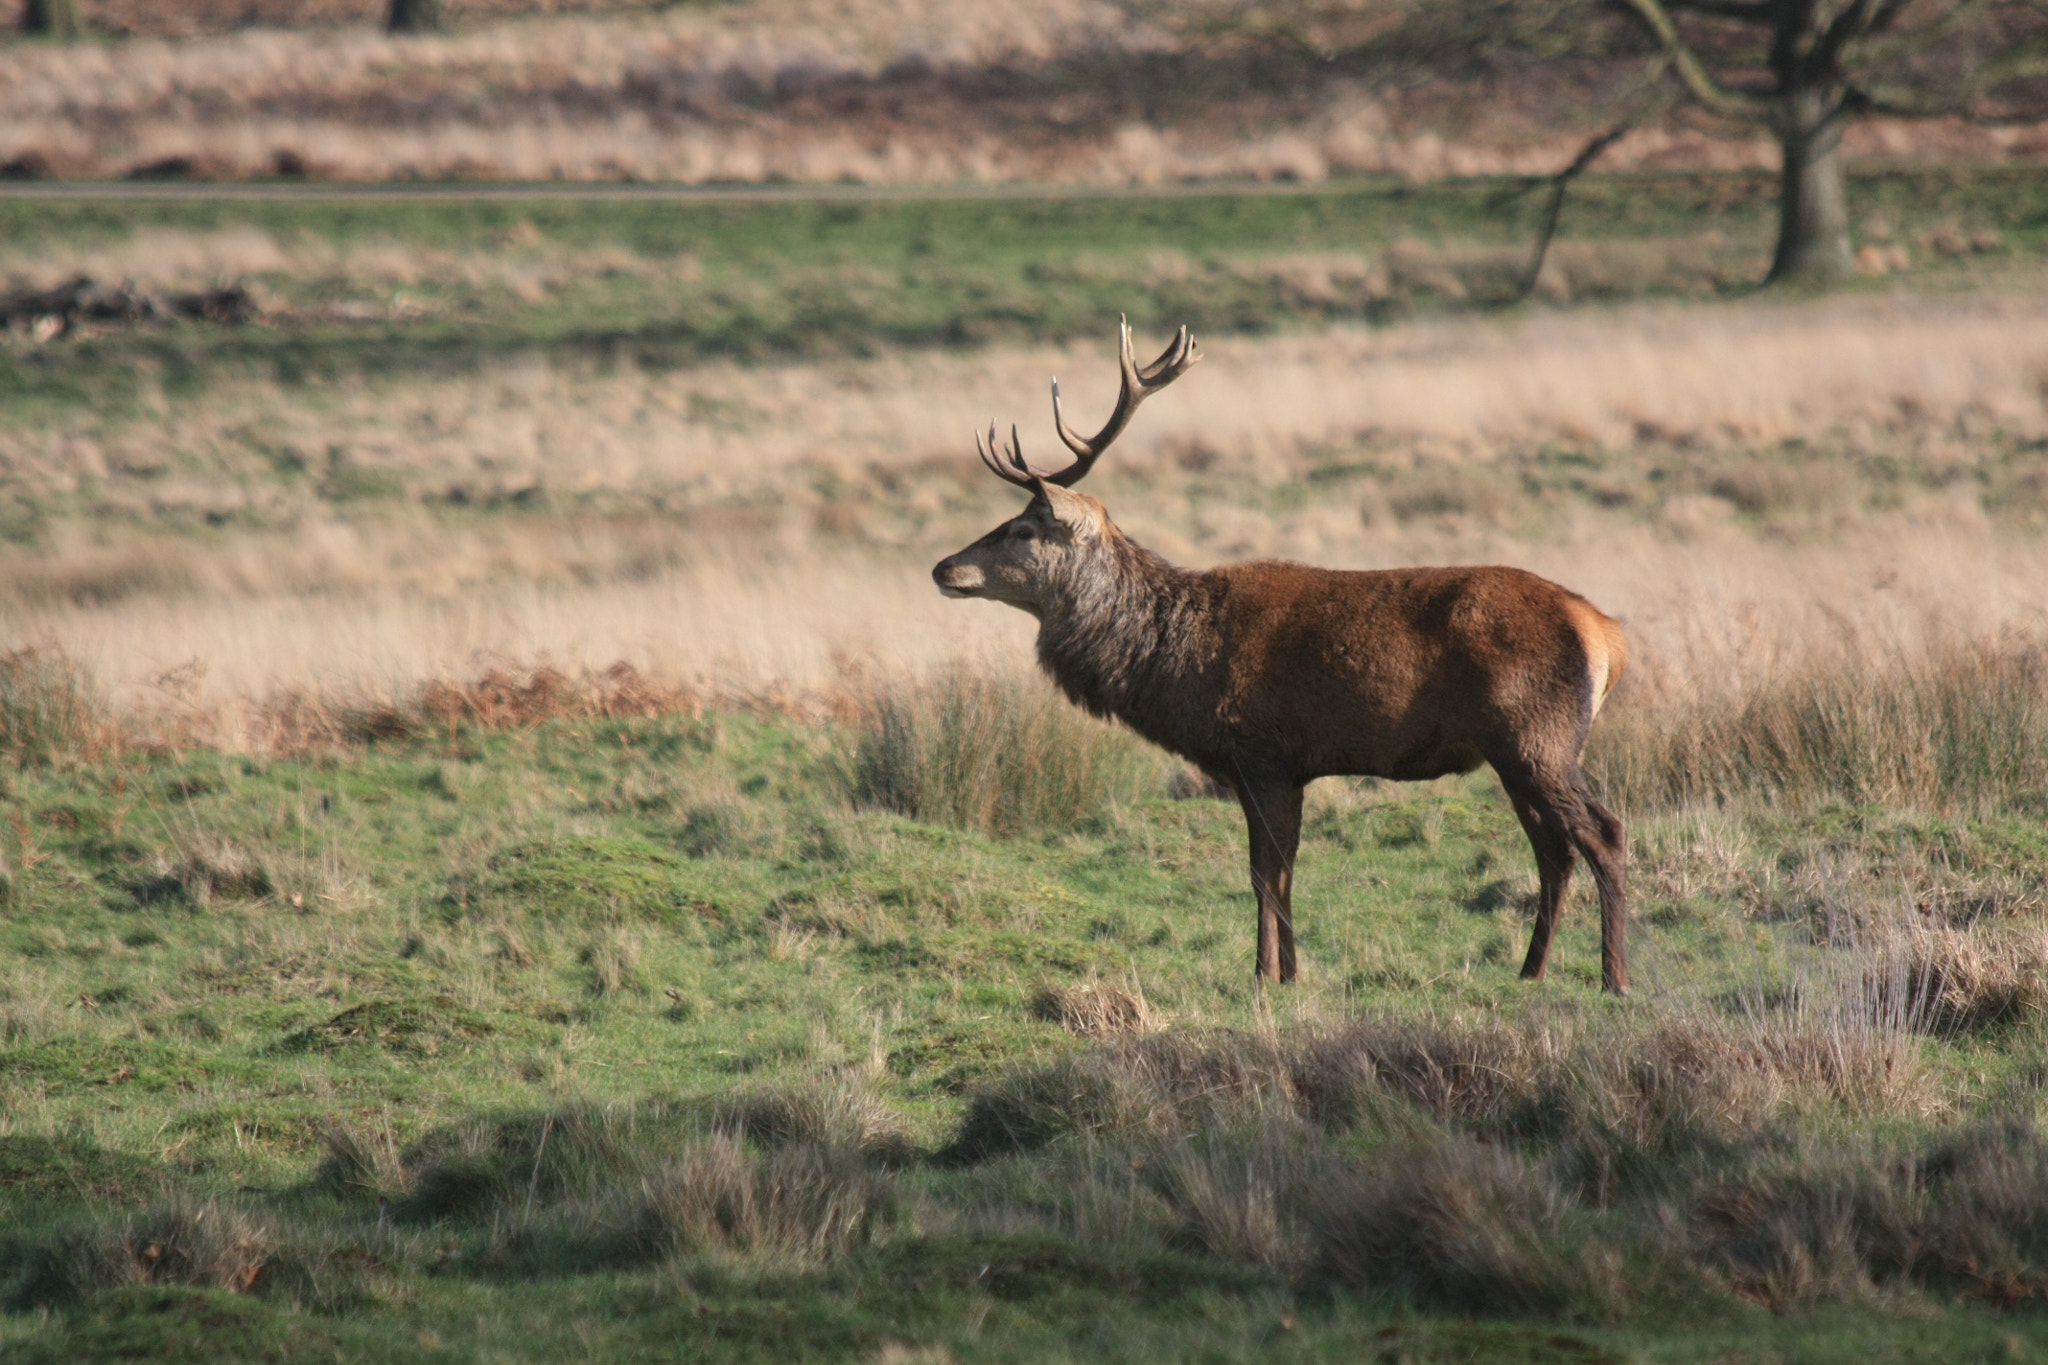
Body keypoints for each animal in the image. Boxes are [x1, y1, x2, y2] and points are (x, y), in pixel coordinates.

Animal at [932, 320, 1633, 993]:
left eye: (1023, 529)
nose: (943, 567)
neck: (1180, 666)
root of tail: (1606, 634)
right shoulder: (1287, 767)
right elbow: (1287, 871)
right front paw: (1292, 973)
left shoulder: (1259, 750)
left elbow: (1262, 872)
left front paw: (1262, 976)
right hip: (1518, 751)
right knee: (1555, 851)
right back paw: (1531, 970)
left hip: (1536, 735)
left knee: (1604, 833)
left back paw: (1614, 978)